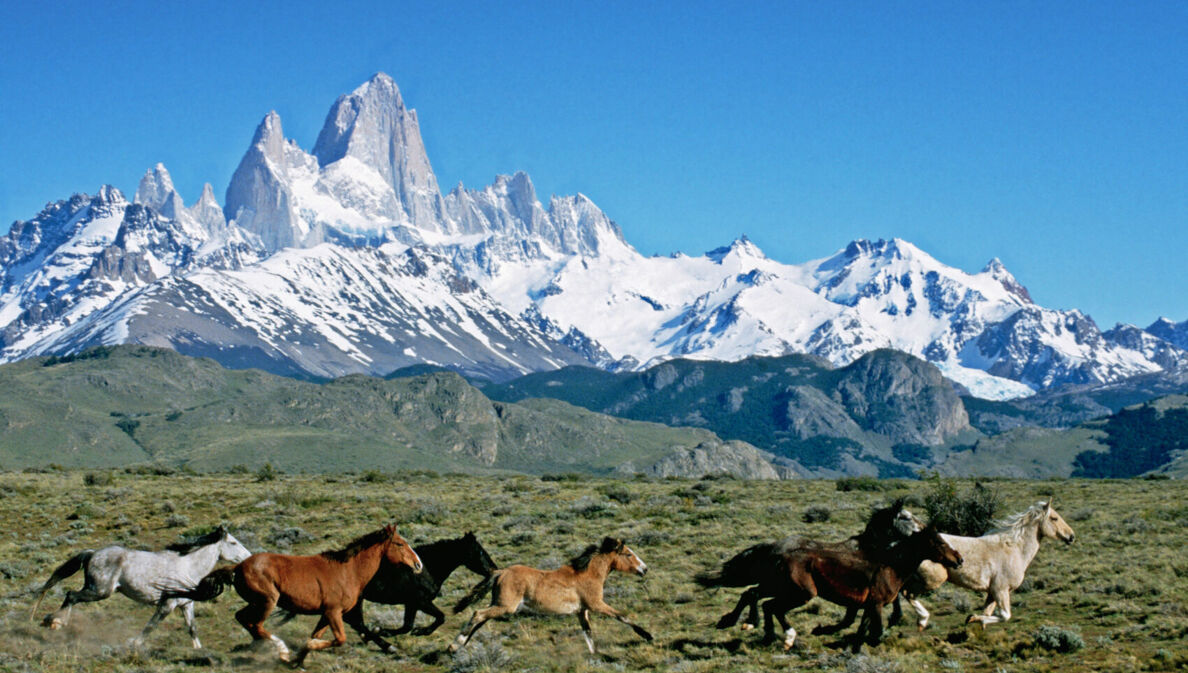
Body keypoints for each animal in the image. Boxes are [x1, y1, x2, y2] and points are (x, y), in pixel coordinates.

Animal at [162, 525, 422, 665]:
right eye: (400, 544)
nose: (418, 564)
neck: (348, 570)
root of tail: (238, 566)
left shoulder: (325, 614)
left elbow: (313, 637)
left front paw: (298, 660)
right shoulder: (334, 612)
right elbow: (339, 639)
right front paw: (294, 656)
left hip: (257, 602)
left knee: (242, 618)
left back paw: (269, 649)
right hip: (267, 601)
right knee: (255, 624)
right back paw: (280, 648)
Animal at [446, 537, 651, 656]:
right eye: (628, 554)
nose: (645, 569)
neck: (589, 574)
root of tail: (501, 572)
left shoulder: (582, 611)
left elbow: (589, 633)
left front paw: (596, 655)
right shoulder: (596, 604)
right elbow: (621, 616)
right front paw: (647, 636)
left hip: (499, 605)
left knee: (480, 620)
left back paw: (457, 647)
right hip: (505, 606)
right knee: (477, 614)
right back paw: (454, 646)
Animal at [760, 527, 964, 656]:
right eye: (939, 542)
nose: (959, 559)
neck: (891, 566)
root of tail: (782, 556)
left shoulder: (868, 606)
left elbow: (861, 630)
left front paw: (848, 647)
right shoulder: (876, 605)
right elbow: (876, 634)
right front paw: (822, 631)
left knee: (767, 605)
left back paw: (770, 637)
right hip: (801, 594)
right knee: (772, 607)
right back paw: (786, 639)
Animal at [898, 504, 1078, 632]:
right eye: (1054, 518)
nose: (1071, 536)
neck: (1014, 549)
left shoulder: (992, 592)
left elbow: (987, 613)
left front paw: (976, 623)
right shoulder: (1001, 589)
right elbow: (1005, 616)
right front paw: (971, 618)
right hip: (933, 580)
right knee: (907, 593)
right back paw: (922, 621)